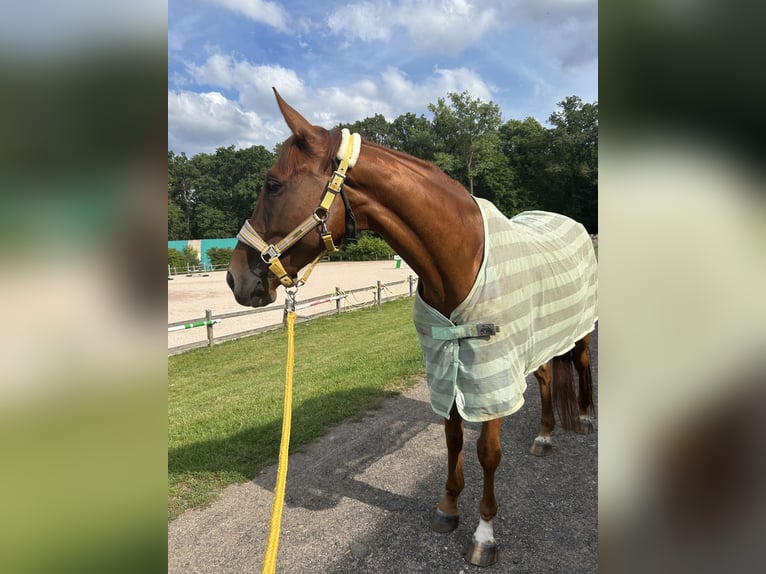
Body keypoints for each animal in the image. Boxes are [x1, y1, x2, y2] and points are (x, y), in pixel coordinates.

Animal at [228, 89, 600, 568]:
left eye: (272, 184)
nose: (235, 278)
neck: (460, 256)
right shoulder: (447, 366)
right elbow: (453, 438)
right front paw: (447, 508)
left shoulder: (488, 370)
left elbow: (486, 452)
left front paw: (484, 534)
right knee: (546, 376)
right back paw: (544, 434)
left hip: (579, 330)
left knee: (582, 362)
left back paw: (585, 417)